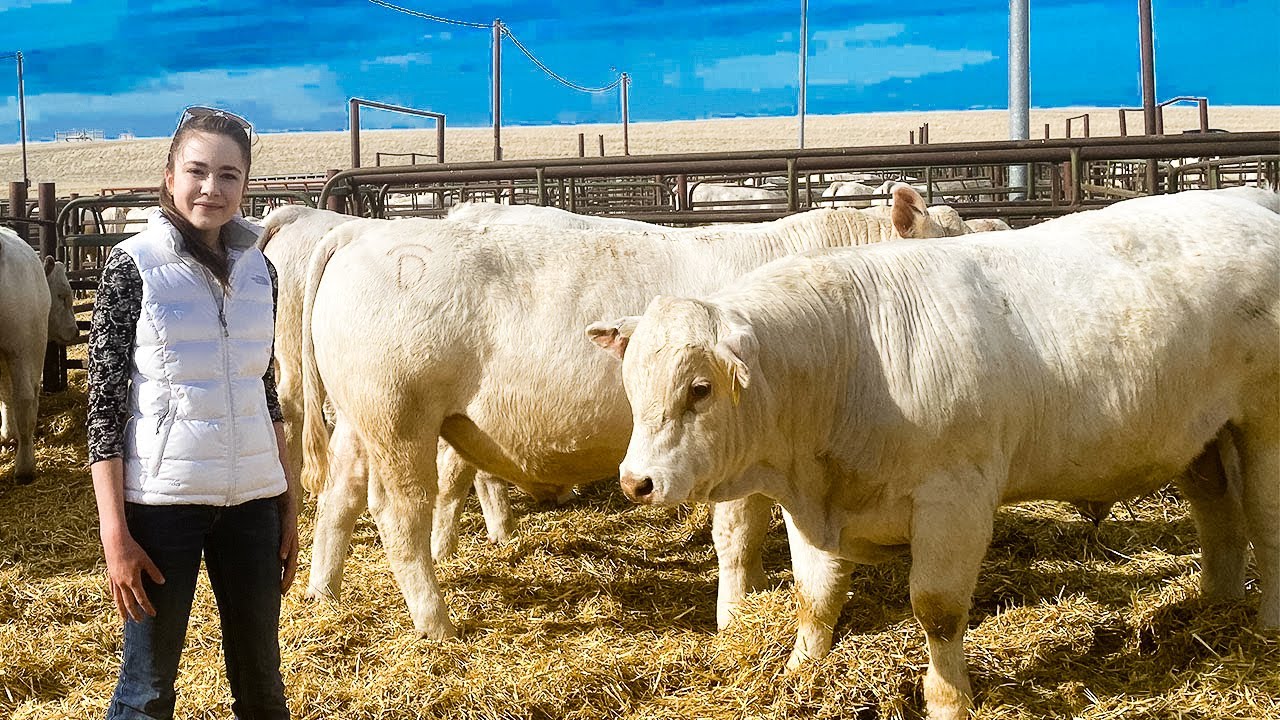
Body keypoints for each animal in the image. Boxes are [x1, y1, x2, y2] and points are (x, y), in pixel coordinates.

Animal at [297, 186, 964, 633]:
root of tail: (360, 235)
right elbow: (735, 533)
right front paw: (732, 619)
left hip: (359, 420)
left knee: (339, 496)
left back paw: (323, 595)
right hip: (398, 417)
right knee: (398, 515)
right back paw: (435, 622)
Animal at [592, 190, 1279, 720]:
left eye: (699, 388)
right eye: (632, 383)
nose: (636, 481)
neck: (854, 360)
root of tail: (1250, 202)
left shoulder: (956, 499)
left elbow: (938, 610)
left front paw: (948, 697)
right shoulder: (809, 508)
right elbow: (817, 596)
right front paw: (799, 674)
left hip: (1264, 425)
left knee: (1265, 526)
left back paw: (1266, 626)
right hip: (1205, 438)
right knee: (1219, 516)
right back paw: (1215, 607)